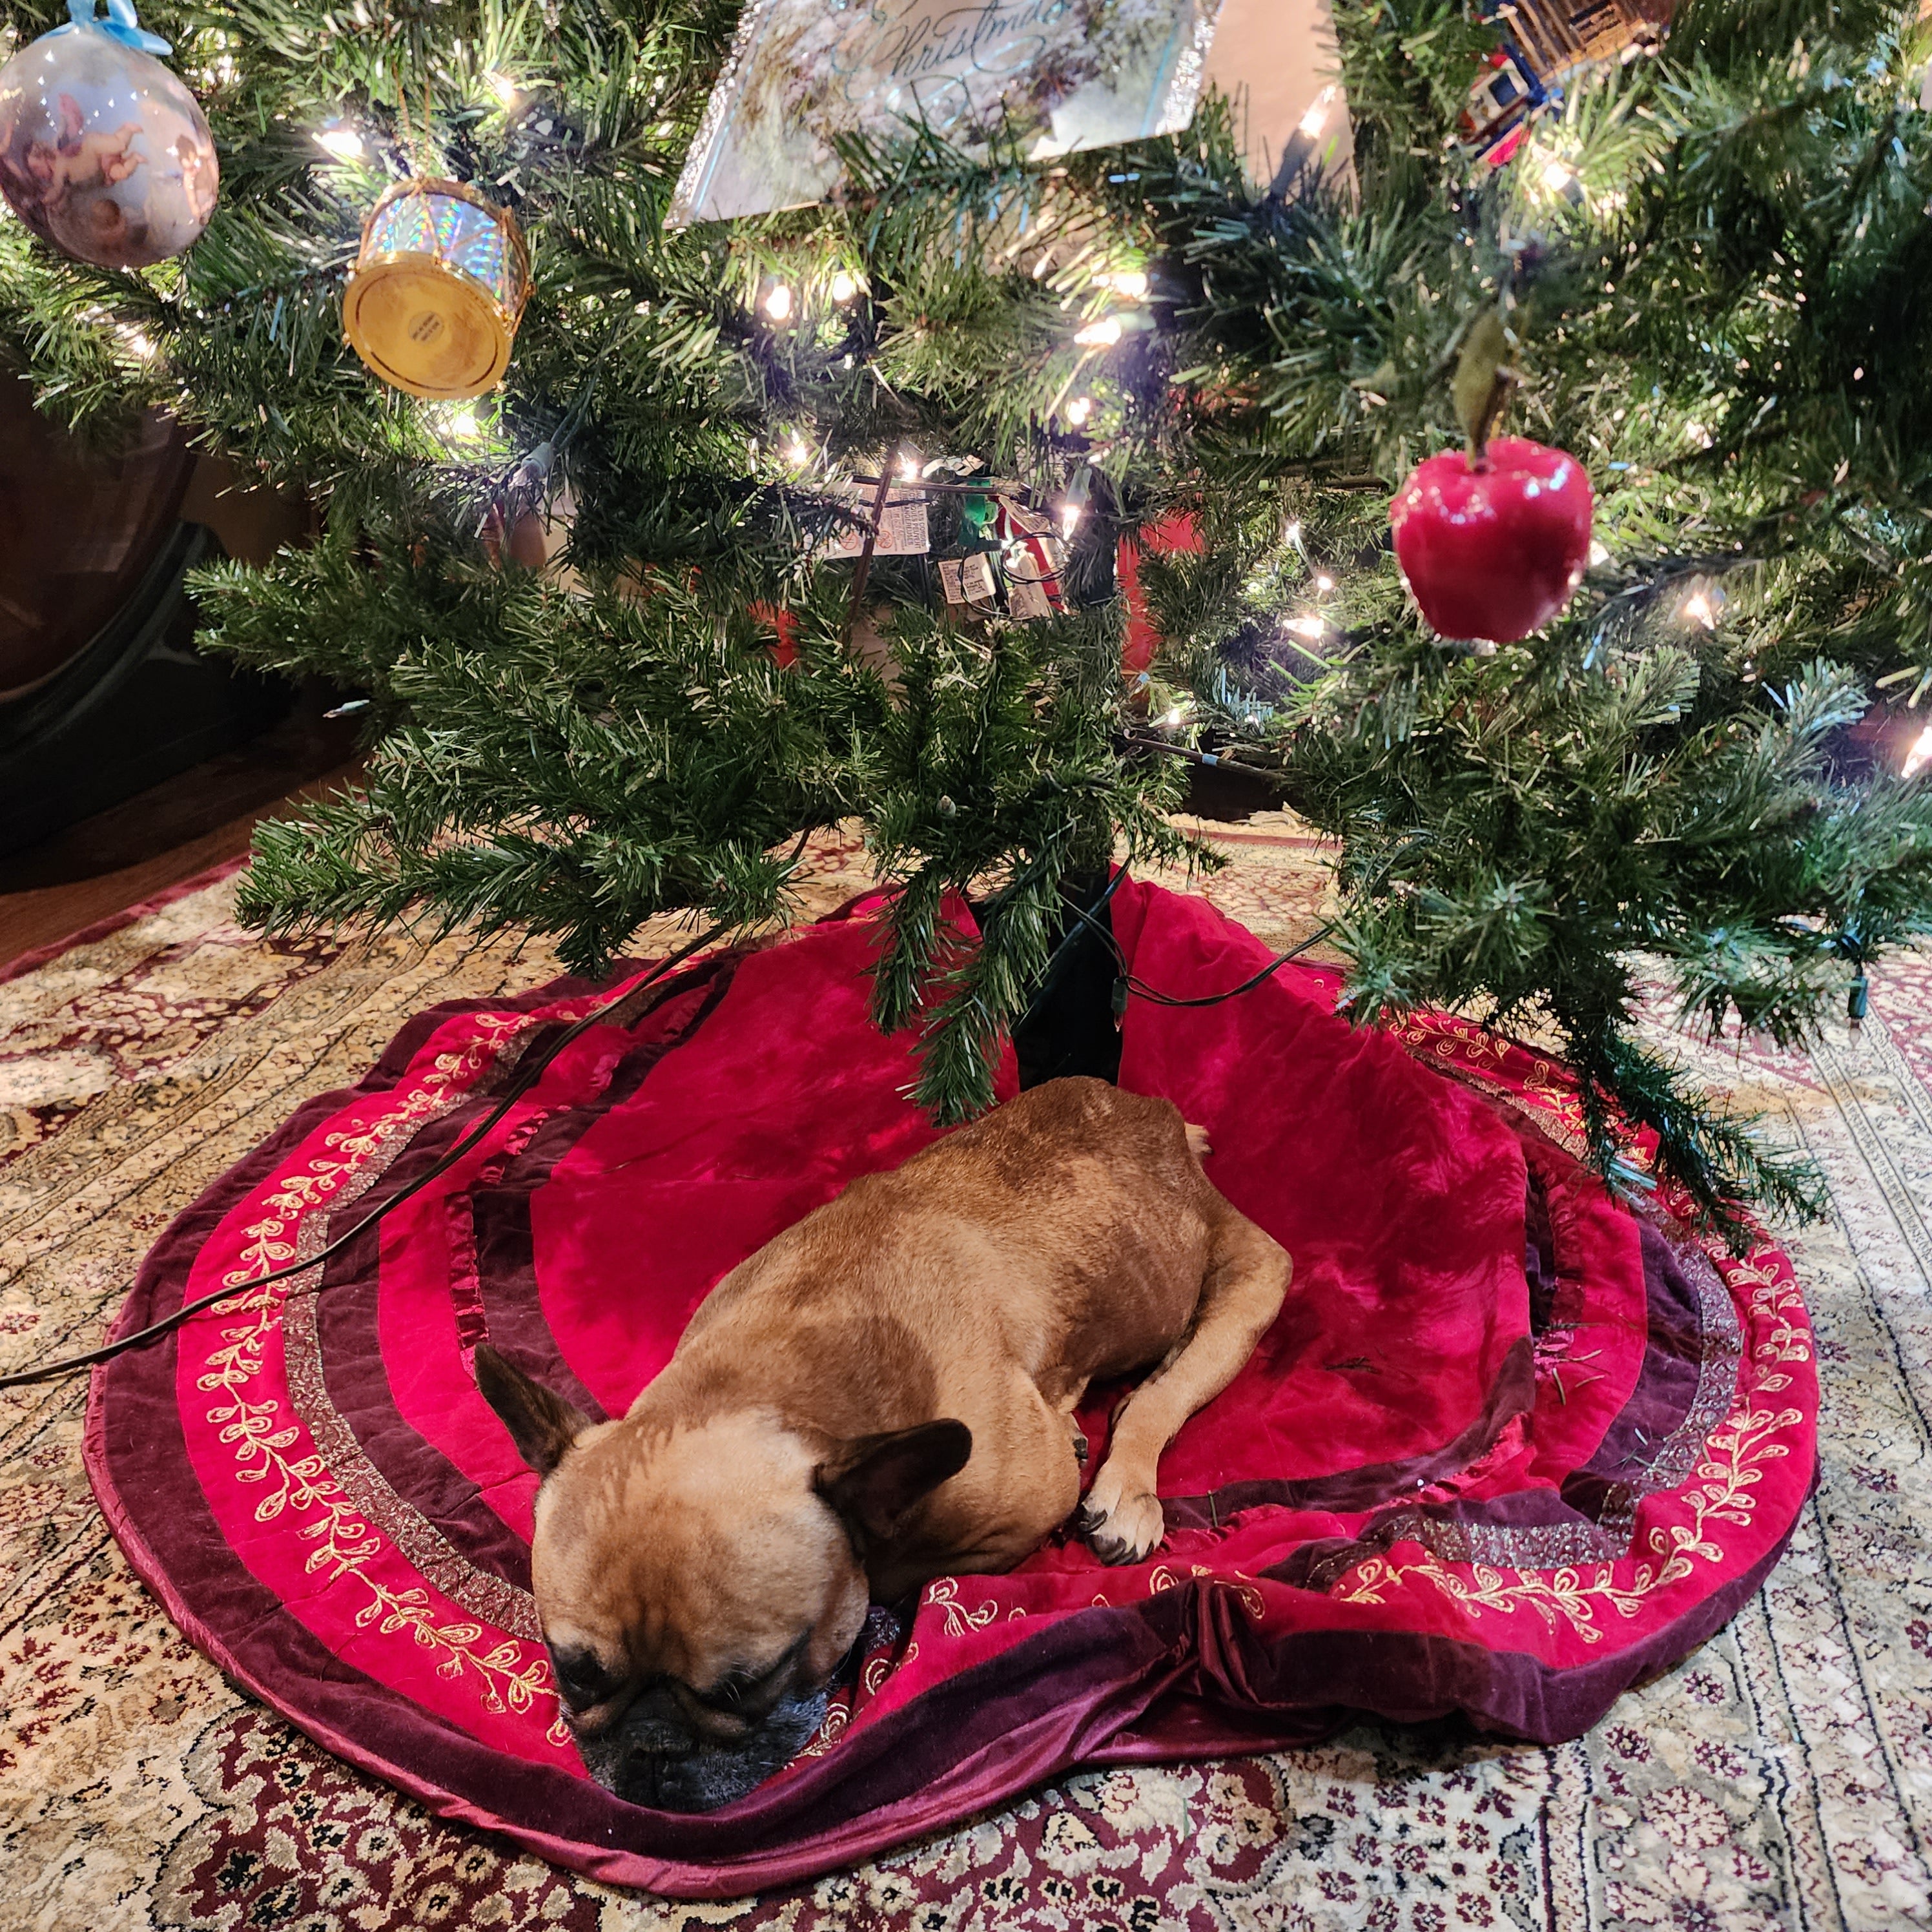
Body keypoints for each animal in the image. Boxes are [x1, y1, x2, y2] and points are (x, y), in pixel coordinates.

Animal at [476, 1075, 1290, 1811]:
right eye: (573, 1669)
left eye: (751, 1683)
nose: (652, 1748)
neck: (772, 1369)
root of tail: (1159, 1117)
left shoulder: (1013, 1513)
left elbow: (890, 1574)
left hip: (1243, 1283)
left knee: (1159, 1393)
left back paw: (1125, 1485)